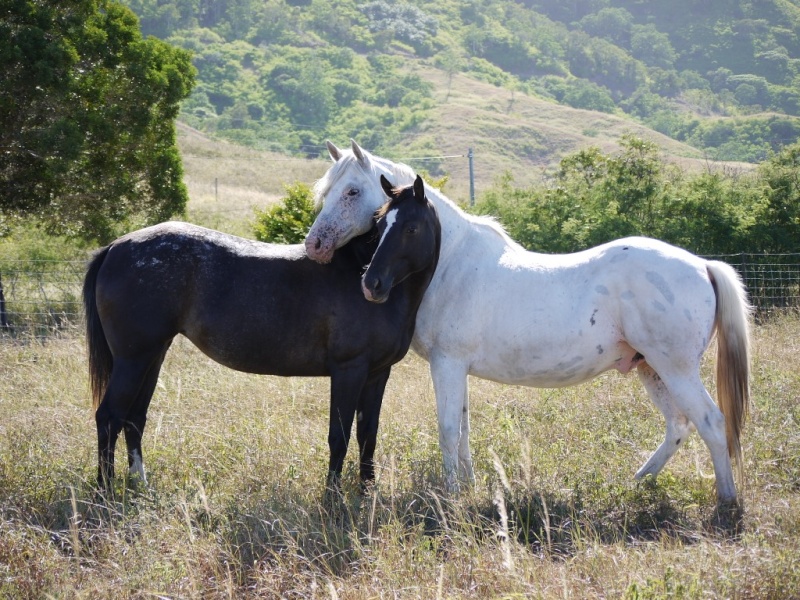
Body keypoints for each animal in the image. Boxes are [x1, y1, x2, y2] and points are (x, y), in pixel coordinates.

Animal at [84, 175, 440, 492]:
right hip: (133, 359)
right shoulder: (348, 371)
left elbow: (368, 434)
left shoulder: (378, 374)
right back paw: (105, 491)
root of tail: (114, 248)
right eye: (379, 227)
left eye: (410, 228)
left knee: (134, 418)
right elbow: (339, 436)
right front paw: (332, 499)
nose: (371, 285)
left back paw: (140, 485)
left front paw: (367, 493)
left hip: (152, 356)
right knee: (109, 417)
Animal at [304, 141, 752, 506]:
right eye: (380, 222)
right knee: (678, 426)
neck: (454, 264)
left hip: (675, 369)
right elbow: (464, 430)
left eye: (352, 191)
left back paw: (727, 502)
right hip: (651, 368)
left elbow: (449, 430)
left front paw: (451, 497)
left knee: (711, 423)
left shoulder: (447, 364)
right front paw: (467, 488)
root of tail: (703, 265)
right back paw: (638, 481)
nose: (315, 246)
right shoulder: (456, 369)